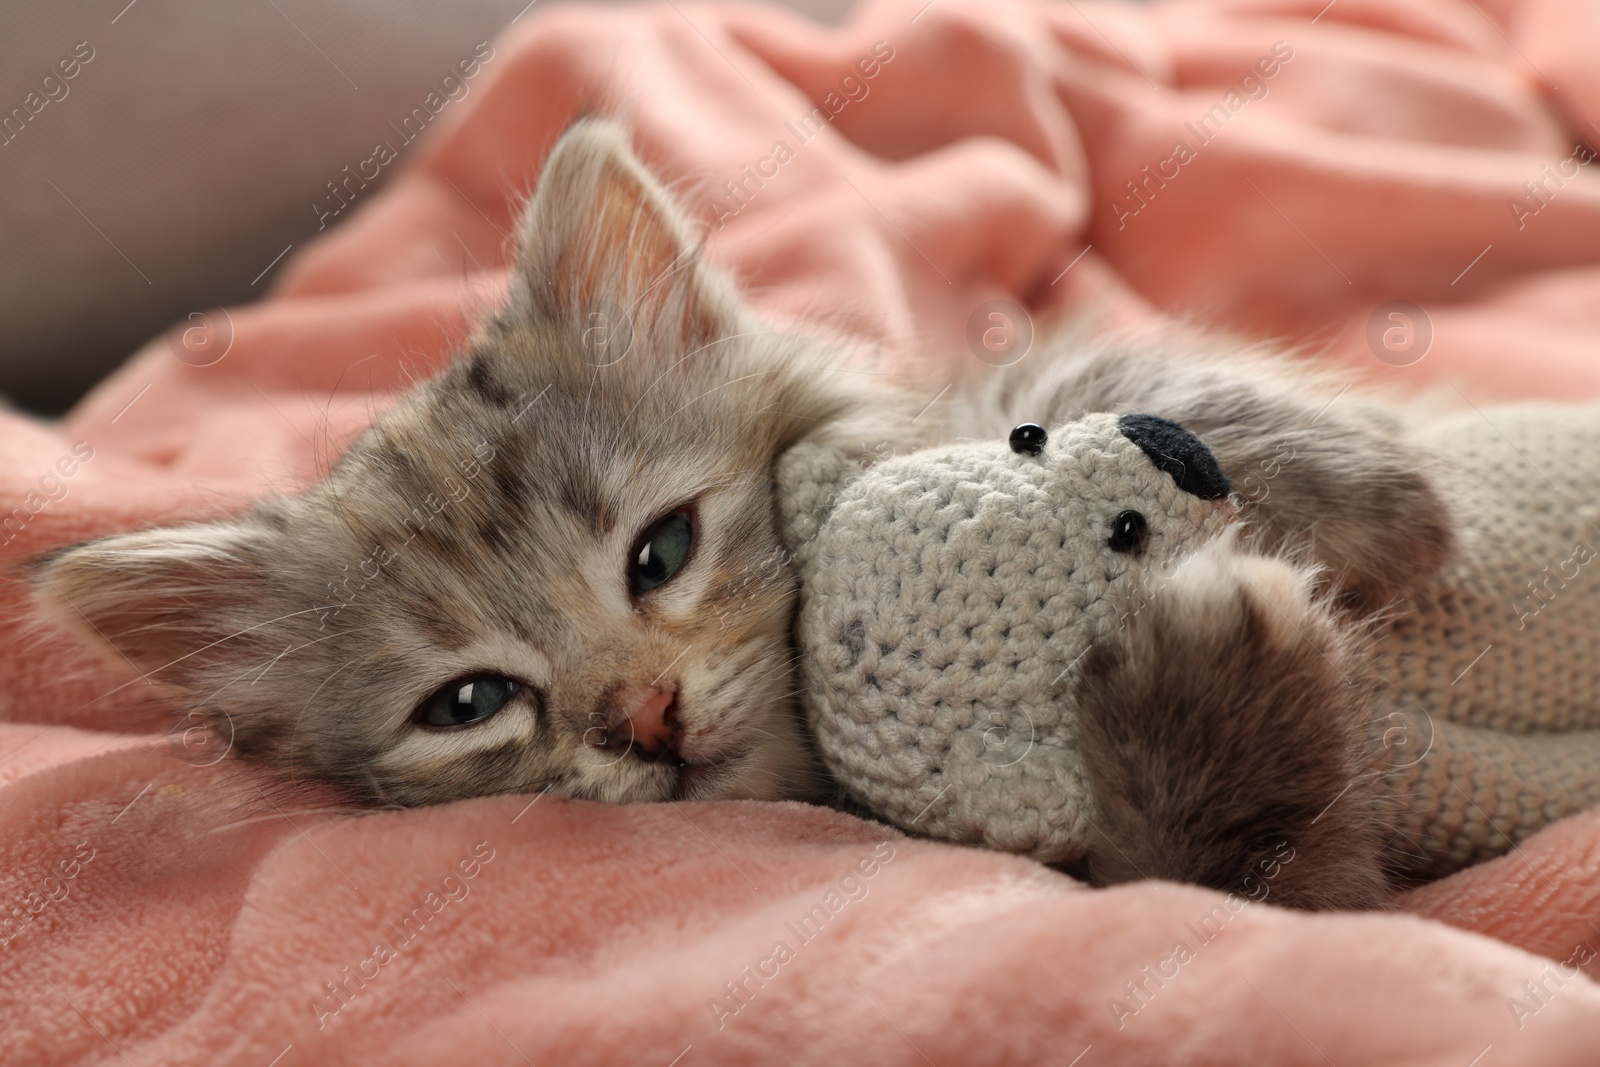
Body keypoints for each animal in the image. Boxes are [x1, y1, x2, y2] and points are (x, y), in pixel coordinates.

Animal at [31, 116, 1459, 908]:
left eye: (660, 551)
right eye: (470, 703)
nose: (643, 719)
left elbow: (1062, 392)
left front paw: (1367, 490)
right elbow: (1227, 867)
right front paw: (1211, 666)